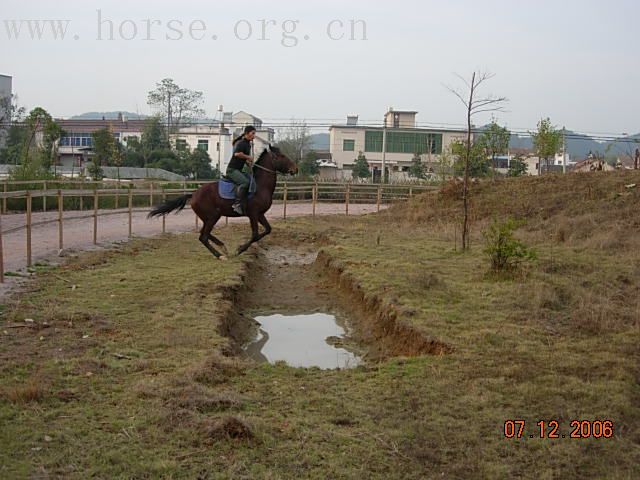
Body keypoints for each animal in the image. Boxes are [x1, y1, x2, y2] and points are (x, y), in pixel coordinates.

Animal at [149, 144, 298, 258]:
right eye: (282, 156)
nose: (295, 169)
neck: (260, 186)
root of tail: (194, 194)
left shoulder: (260, 214)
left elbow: (267, 230)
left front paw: (239, 248)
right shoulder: (253, 214)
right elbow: (255, 235)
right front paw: (239, 249)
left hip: (209, 217)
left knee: (204, 234)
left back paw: (222, 246)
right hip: (213, 216)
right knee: (203, 236)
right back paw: (220, 255)